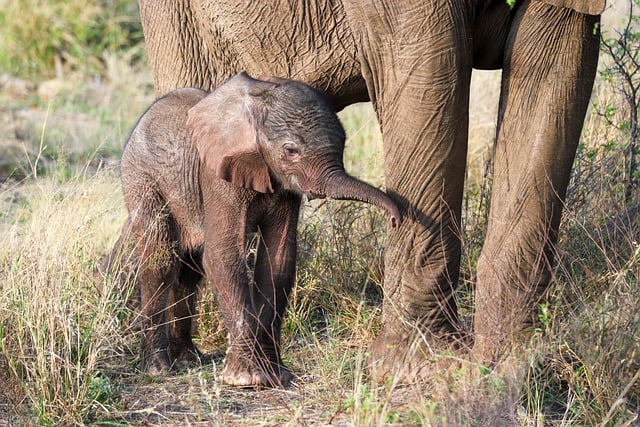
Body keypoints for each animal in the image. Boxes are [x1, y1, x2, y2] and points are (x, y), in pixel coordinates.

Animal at [112, 72, 398, 388]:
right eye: (290, 151)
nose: (395, 219)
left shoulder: (284, 187)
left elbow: (278, 260)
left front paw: (277, 374)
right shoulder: (217, 176)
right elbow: (222, 256)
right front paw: (246, 378)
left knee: (190, 270)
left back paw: (188, 359)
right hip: (142, 177)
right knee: (159, 260)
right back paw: (158, 368)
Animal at [139, 0, 604, 380]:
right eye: (289, 150)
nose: (396, 215)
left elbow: (556, 61)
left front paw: (510, 362)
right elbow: (423, 70)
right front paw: (419, 367)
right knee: (171, 253)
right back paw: (172, 363)